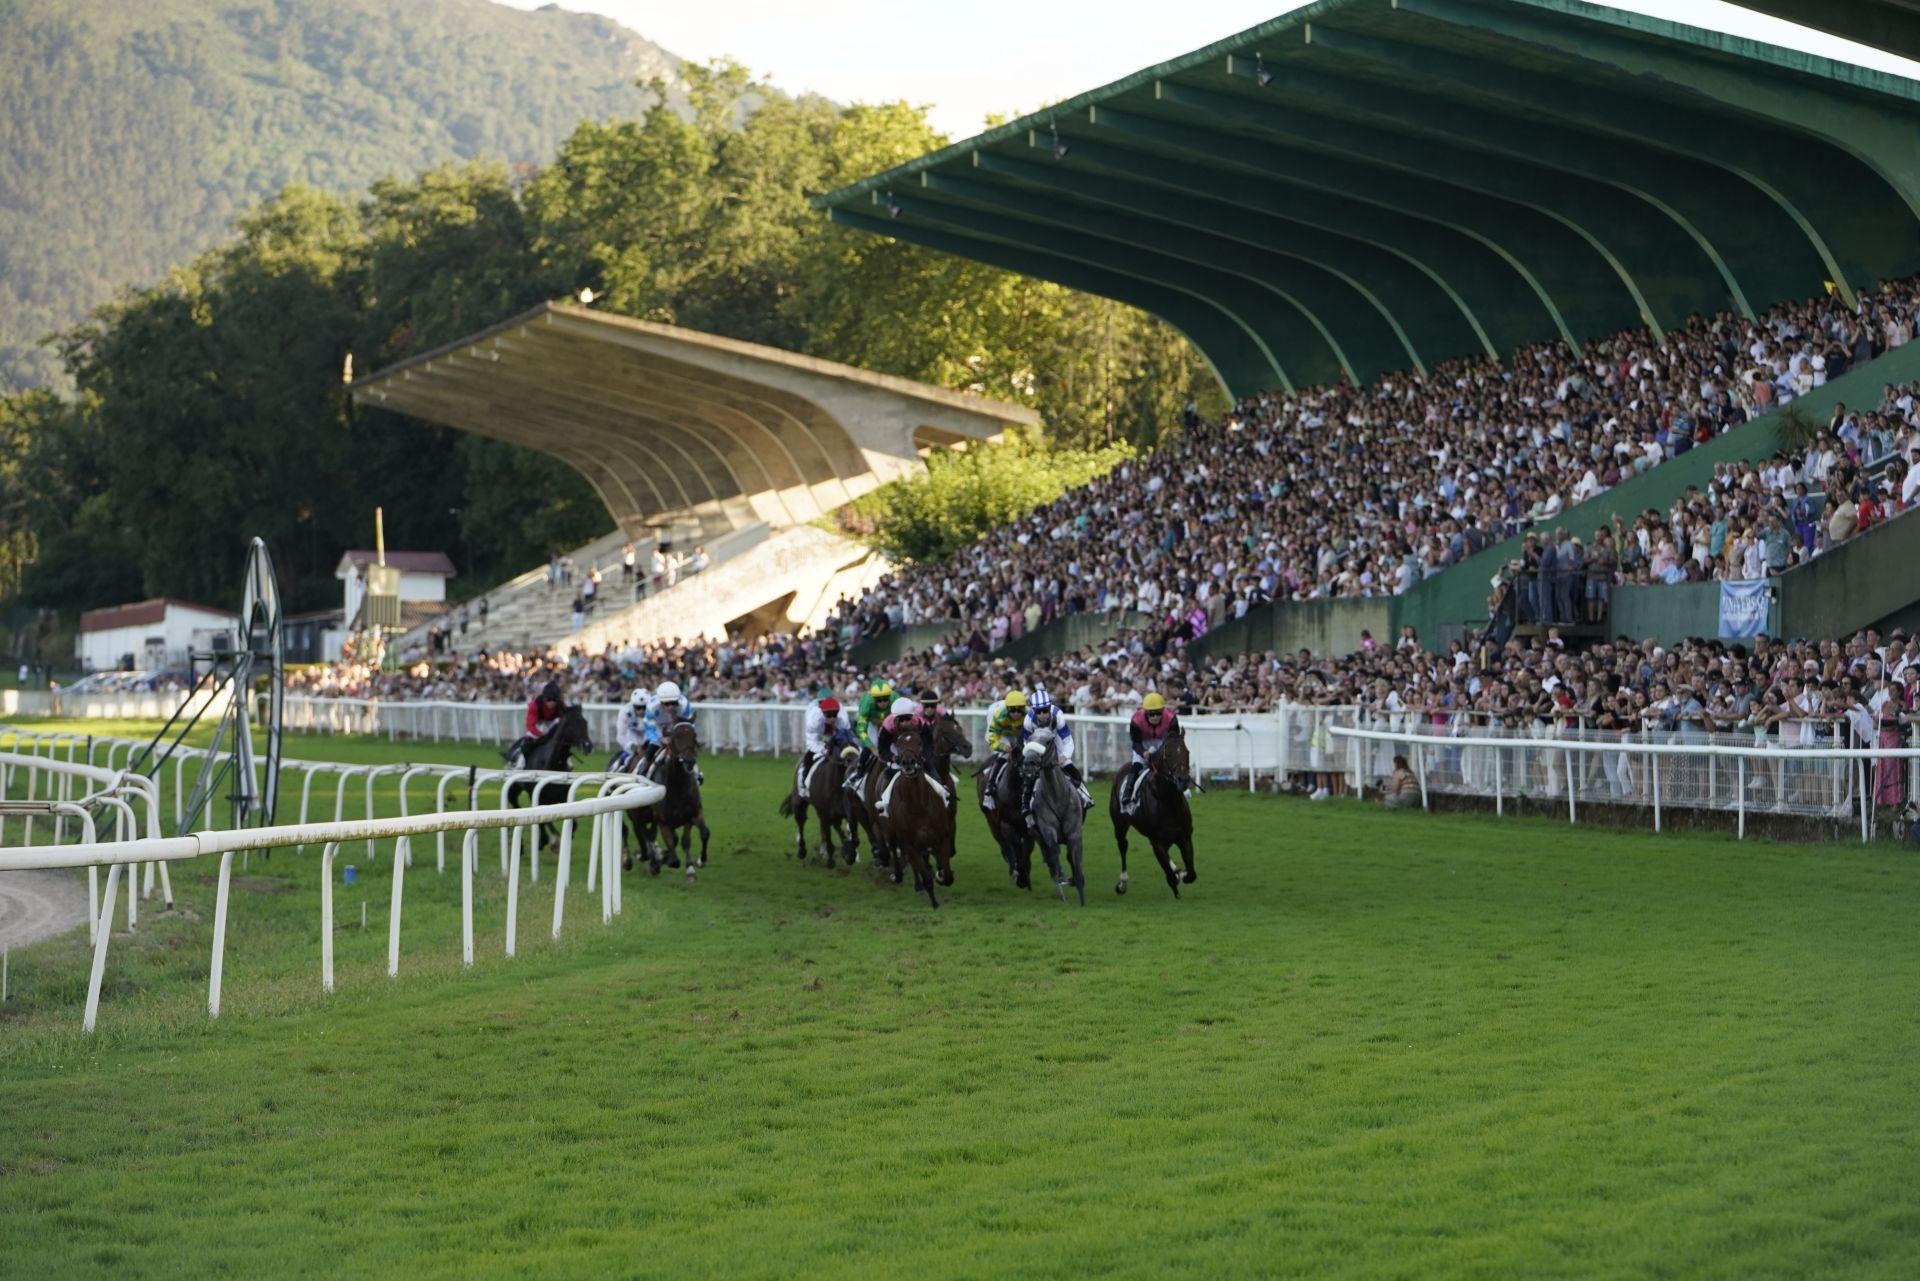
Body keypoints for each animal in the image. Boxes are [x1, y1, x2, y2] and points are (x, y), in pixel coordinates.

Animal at [503, 702, 591, 841]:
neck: (552, 765)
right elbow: (544, 827)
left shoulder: (562, 798)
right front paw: (553, 839)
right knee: (515, 806)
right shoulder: (539, 799)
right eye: (570, 725)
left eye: (585, 722)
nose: (588, 746)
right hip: (514, 790)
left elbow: (572, 826)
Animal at [629, 722, 714, 883]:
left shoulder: (693, 814)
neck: (678, 786)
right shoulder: (664, 822)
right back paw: (651, 860)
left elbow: (701, 834)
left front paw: (697, 863)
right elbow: (674, 860)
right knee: (645, 834)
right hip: (639, 814)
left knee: (654, 835)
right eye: (676, 737)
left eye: (694, 736)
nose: (689, 761)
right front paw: (659, 861)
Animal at [783, 737, 867, 868]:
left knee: (836, 827)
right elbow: (829, 839)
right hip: (799, 802)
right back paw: (802, 850)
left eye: (856, 747)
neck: (837, 785)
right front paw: (831, 861)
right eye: (840, 746)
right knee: (801, 821)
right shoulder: (825, 813)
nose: (855, 763)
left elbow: (853, 838)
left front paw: (850, 854)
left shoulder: (847, 811)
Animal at [1105, 725, 1190, 898]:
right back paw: (1122, 883)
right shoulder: (1157, 841)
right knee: (1123, 845)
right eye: (1168, 754)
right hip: (1120, 824)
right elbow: (1171, 879)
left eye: (1187, 752)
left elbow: (1191, 874)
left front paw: (1182, 873)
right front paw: (1176, 880)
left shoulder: (1184, 836)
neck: (1168, 800)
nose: (1183, 780)